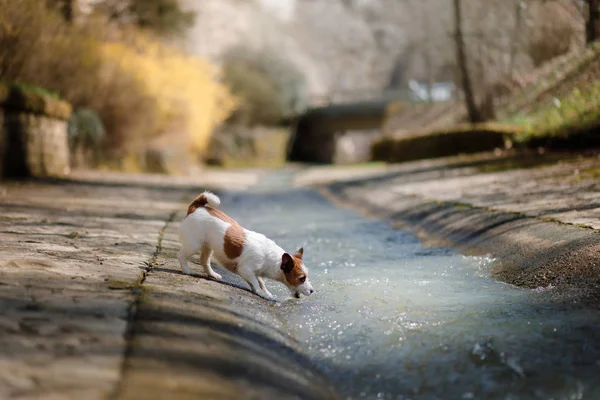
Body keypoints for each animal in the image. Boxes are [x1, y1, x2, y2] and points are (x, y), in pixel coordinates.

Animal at [177, 191, 314, 300]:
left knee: (204, 260)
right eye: (302, 278)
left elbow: (260, 282)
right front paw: (262, 293)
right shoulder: (245, 269)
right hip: (194, 244)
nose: (313, 291)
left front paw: (265, 291)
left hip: (207, 246)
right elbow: (256, 282)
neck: (273, 259)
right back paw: (187, 270)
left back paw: (212, 274)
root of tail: (196, 207)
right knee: (181, 255)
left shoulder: (255, 272)